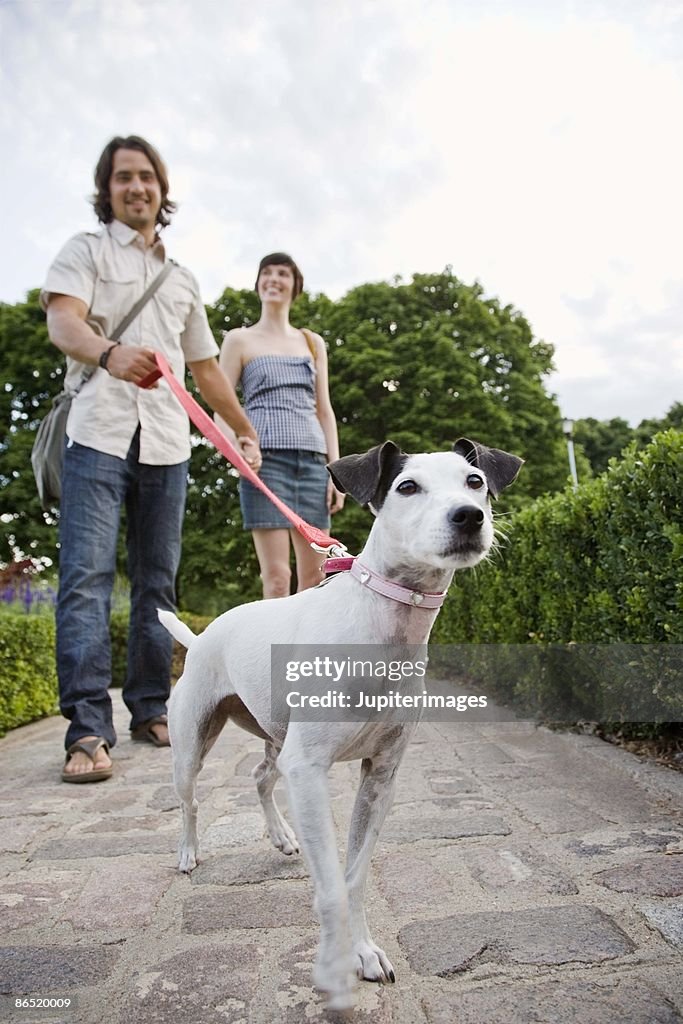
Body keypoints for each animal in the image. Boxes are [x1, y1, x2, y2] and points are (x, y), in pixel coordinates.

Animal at [161, 438, 524, 1007]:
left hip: (276, 736)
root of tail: (200, 638)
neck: (386, 631)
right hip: (194, 745)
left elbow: (353, 876)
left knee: (260, 777)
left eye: (475, 482)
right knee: (191, 801)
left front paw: (363, 950)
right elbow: (330, 883)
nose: (469, 516)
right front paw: (335, 968)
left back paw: (282, 837)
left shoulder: (380, 775)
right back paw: (189, 852)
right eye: (407, 487)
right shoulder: (309, 770)